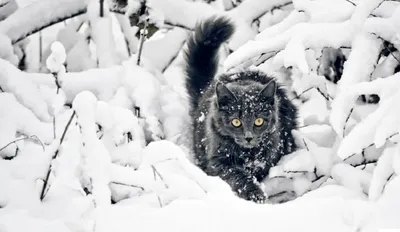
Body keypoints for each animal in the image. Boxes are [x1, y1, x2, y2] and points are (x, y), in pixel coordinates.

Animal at [184, 15, 296, 203]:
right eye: (236, 122)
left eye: (259, 121)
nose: (248, 137)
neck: (247, 154)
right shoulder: (218, 161)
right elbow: (238, 175)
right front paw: (254, 193)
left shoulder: (271, 154)